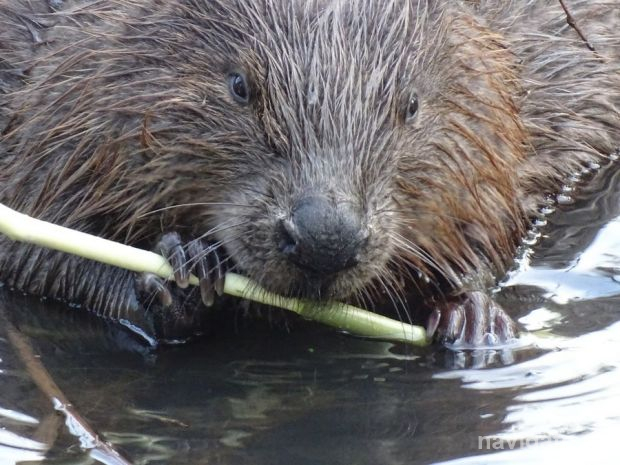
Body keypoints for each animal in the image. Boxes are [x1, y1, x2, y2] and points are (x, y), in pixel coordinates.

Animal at [0, 0, 616, 344]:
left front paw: (473, 320)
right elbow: (39, 246)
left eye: (411, 105)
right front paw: (180, 273)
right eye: (240, 85)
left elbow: (490, 227)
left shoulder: (492, 113)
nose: (325, 240)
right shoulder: (55, 102)